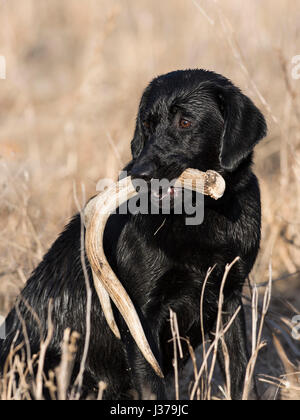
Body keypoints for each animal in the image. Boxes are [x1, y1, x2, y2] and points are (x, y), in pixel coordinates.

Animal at [0, 69, 268, 400]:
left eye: (185, 122)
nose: (137, 173)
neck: (201, 218)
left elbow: (242, 375)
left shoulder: (228, 300)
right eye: (147, 125)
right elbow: (152, 386)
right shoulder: (140, 319)